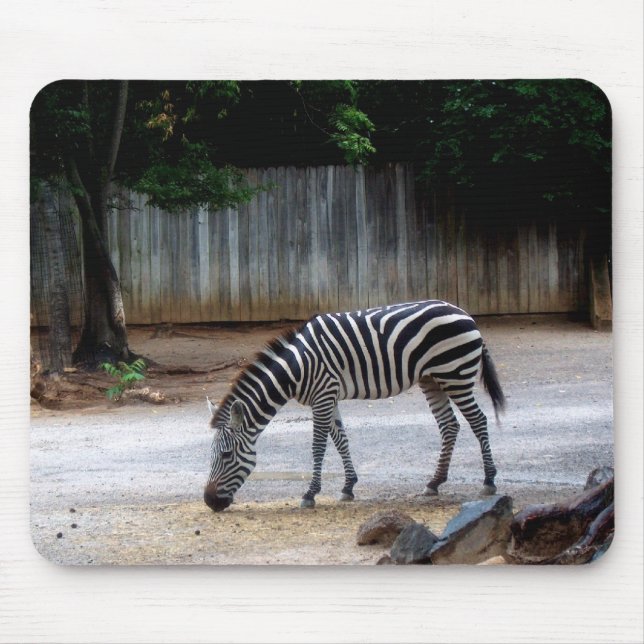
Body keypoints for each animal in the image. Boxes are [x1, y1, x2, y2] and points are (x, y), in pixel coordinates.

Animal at [204, 300, 505, 512]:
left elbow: (319, 445)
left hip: (455, 374)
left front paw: (310, 494)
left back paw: (489, 480)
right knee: (449, 425)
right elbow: (341, 440)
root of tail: (464, 313)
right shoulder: (328, 396)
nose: (209, 501)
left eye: (227, 455)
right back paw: (434, 482)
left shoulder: (323, 395)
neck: (297, 368)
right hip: (431, 378)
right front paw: (348, 487)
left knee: (478, 420)